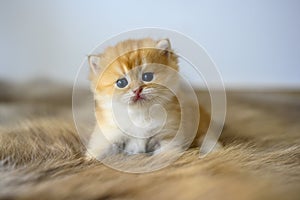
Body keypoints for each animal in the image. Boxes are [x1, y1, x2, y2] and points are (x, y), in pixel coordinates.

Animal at [84, 38, 220, 159]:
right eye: (121, 83)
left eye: (147, 76)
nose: (137, 90)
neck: (140, 115)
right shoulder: (109, 135)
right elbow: (98, 151)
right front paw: (89, 159)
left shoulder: (168, 136)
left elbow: (164, 155)